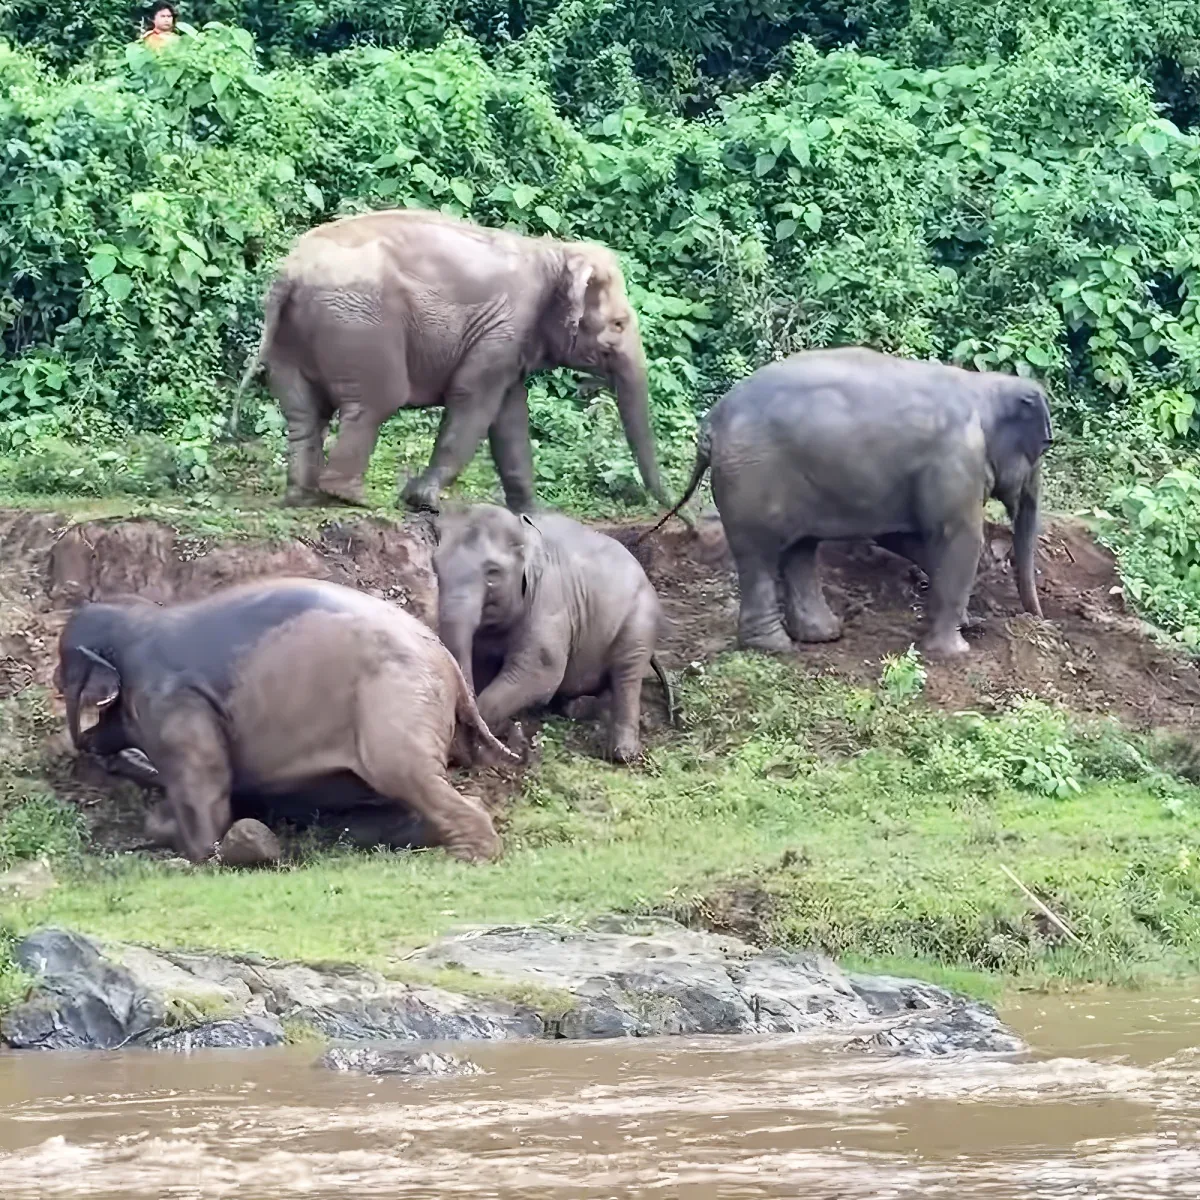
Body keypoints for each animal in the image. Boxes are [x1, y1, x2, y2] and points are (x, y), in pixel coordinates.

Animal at [53, 578, 514, 864]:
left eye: (64, 674)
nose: (84, 750)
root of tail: (451, 665)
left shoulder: (172, 702)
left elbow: (208, 787)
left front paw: (197, 856)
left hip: (396, 702)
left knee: (406, 774)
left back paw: (468, 855)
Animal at [235, 208, 678, 518]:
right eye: (619, 324)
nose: (680, 516)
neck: (553, 251)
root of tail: (290, 272)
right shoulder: (505, 325)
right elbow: (474, 402)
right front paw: (422, 502)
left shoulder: (509, 341)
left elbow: (509, 417)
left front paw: (534, 513)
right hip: (359, 325)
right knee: (375, 402)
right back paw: (353, 498)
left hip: (292, 336)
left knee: (303, 413)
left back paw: (303, 498)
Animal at [433, 504, 676, 763]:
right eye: (436, 565)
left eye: (493, 573)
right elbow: (482, 667)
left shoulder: (550, 602)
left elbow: (540, 674)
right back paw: (576, 708)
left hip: (639, 618)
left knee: (627, 673)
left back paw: (622, 754)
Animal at [643, 347, 1053, 658]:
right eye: (1043, 449)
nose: (1037, 618)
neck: (982, 386)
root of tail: (711, 423)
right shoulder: (956, 461)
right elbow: (960, 538)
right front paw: (954, 652)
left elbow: (901, 535)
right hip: (751, 480)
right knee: (759, 553)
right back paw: (776, 647)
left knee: (799, 548)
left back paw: (822, 634)